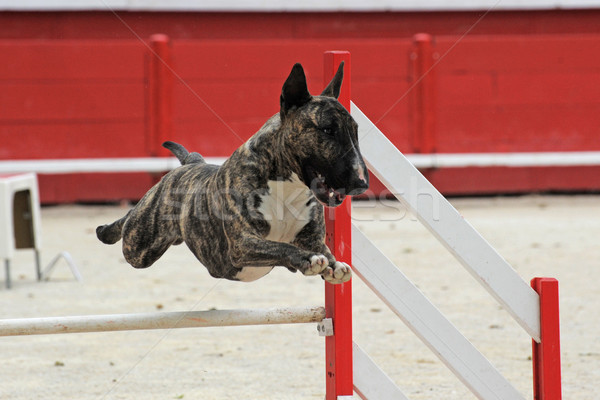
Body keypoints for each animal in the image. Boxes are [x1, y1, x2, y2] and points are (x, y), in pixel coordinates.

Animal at [96, 61, 368, 282]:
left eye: (355, 130)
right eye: (327, 130)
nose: (361, 183)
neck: (287, 186)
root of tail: (190, 163)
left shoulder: (311, 239)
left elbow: (323, 251)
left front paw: (335, 265)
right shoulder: (242, 244)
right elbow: (282, 248)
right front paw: (308, 260)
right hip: (139, 245)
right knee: (128, 224)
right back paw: (105, 230)